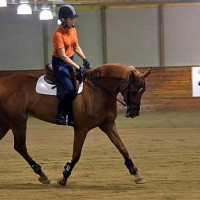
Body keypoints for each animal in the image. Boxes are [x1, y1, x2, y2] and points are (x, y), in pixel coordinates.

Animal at [0, 63, 150, 186]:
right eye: (134, 90)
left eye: (143, 91)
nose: (133, 112)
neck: (98, 91)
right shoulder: (81, 128)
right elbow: (76, 154)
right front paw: (64, 177)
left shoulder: (108, 125)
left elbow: (122, 148)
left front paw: (136, 174)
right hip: (18, 121)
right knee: (20, 146)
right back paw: (42, 174)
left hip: (6, 123)